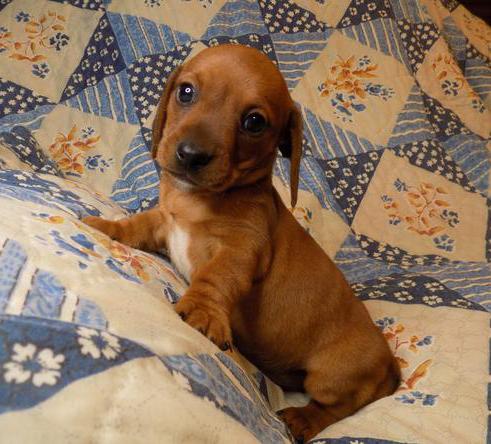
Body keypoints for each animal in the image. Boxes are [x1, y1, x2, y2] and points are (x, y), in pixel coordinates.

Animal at [84, 44, 400, 441]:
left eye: (254, 123)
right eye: (186, 92)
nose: (190, 155)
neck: (198, 200)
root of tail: (389, 363)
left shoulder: (240, 250)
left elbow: (216, 277)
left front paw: (203, 312)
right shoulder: (163, 223)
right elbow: (136, 225)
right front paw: (107, 226)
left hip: (330, 376)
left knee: (336, 407)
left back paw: (302, 419)